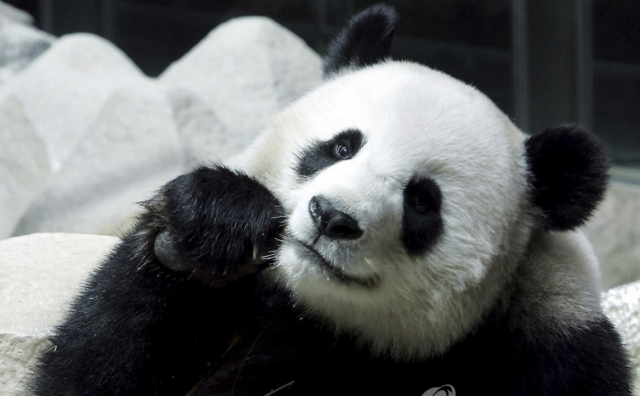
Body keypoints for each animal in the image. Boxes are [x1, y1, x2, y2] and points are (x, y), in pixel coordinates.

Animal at [28, 3, 632, 396]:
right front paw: (213, 222)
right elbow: (82, 372)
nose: (332, 217)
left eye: (423, 202)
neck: (328, 323)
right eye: (341, 146)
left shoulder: (555, 345)